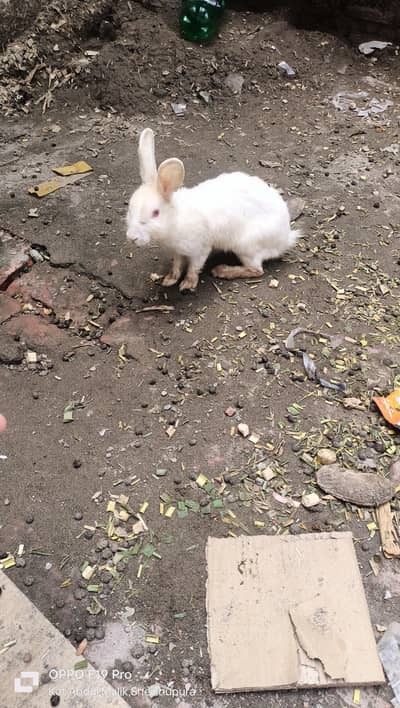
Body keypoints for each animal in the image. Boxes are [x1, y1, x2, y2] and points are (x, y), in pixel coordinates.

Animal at [126, 128, 300, 292]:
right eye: (130, 208)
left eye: (155, 213)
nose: (131, 237)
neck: (175, 219)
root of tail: (286, 238)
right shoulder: (177, 252)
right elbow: (176, 265)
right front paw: (169, 280)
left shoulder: (200, 249)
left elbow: (194, 268)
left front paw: (187, 284)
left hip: (247, 246)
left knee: (257, 270)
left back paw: (222, 271)